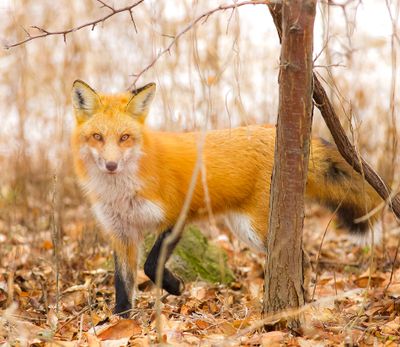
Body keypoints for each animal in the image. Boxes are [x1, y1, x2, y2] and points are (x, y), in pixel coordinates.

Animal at [71, 80, 382, 316]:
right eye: (97, 137)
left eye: (125, 137)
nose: (111, 165)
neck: (121, 191)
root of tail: (273, 131)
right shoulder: (121, 232)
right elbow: (123, 285)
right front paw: (121, 321)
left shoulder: (176, 215)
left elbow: (151, 265)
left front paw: (176, 286)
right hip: (244, 229)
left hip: (257, 229)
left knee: (298, 257)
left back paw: (295, 302)